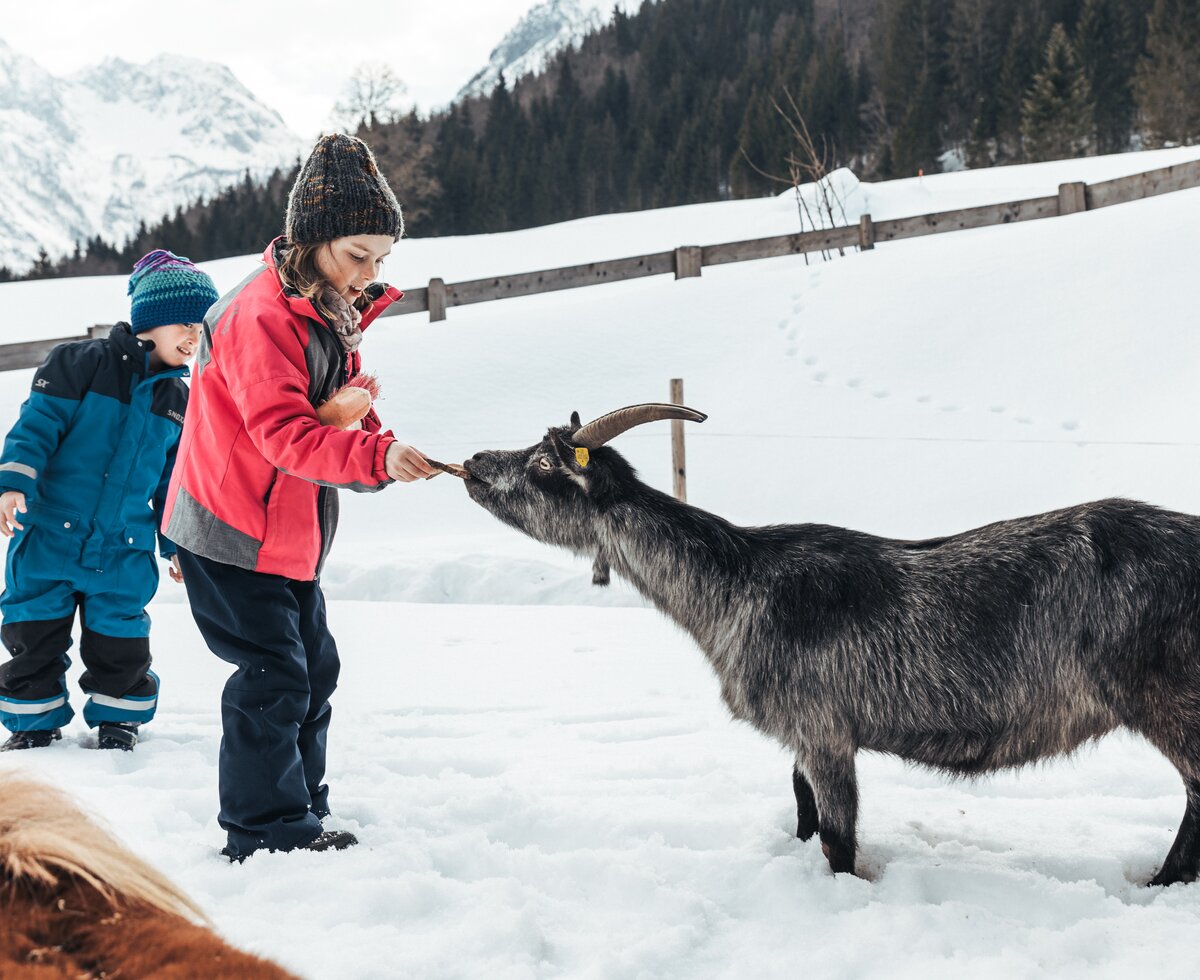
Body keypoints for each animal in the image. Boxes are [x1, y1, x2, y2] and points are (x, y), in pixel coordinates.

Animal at [463, 400, 1200, 882]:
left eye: (542, 461)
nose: (471, 460)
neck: (738, 581)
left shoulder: (824, 730)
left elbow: (839, 840)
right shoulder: (802, 737)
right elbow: (803, 812)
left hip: (1171, 696)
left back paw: (1161, 884)